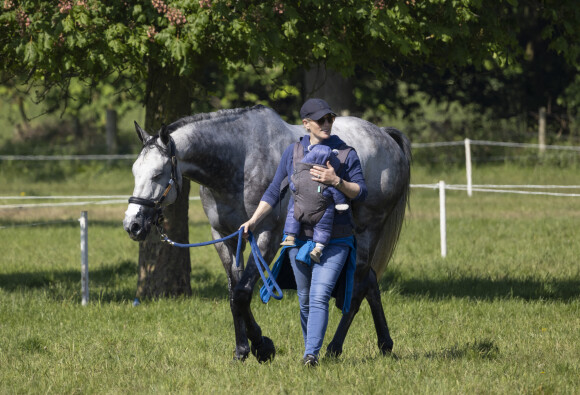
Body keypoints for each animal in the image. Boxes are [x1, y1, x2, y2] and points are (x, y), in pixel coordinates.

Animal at [124, 104, 410, 362]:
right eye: (134, 171)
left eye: (158, 174)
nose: (132, 225)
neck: (238, 160)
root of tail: (384, 137)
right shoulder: (225, 237)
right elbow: (234, 292)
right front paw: (244, 349)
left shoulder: (266, 235)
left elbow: (242, 293)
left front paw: (261, 348)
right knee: (370, 281)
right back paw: (385, 344)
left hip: (367, 231)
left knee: (359, 287)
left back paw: (334, 348)